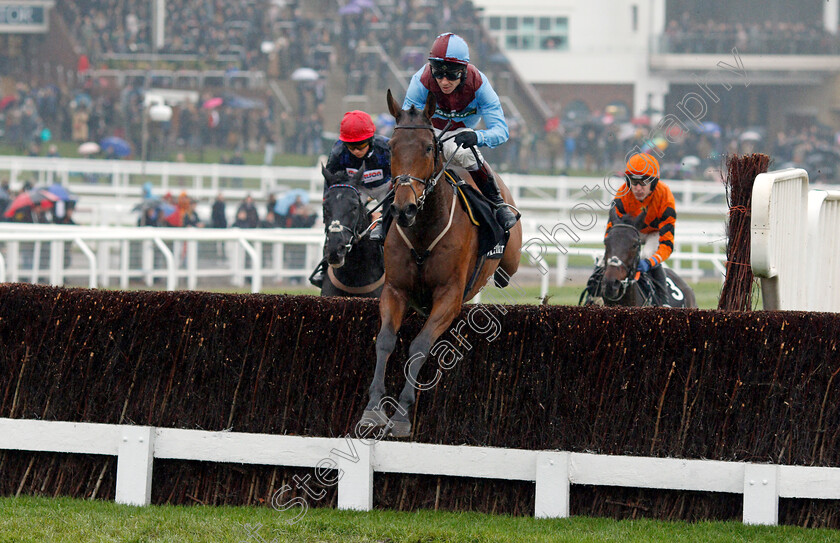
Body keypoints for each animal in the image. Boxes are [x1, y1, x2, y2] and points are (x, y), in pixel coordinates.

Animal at [358, 89, 520, 438]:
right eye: (391, 147)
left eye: (429, 147)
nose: (403, 208)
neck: (422, 231)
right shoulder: (395, 290)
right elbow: (385, 341)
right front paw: (373, 409)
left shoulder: (449, 295)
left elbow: (420, 346)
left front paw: (402, 414)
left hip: (510, 257)